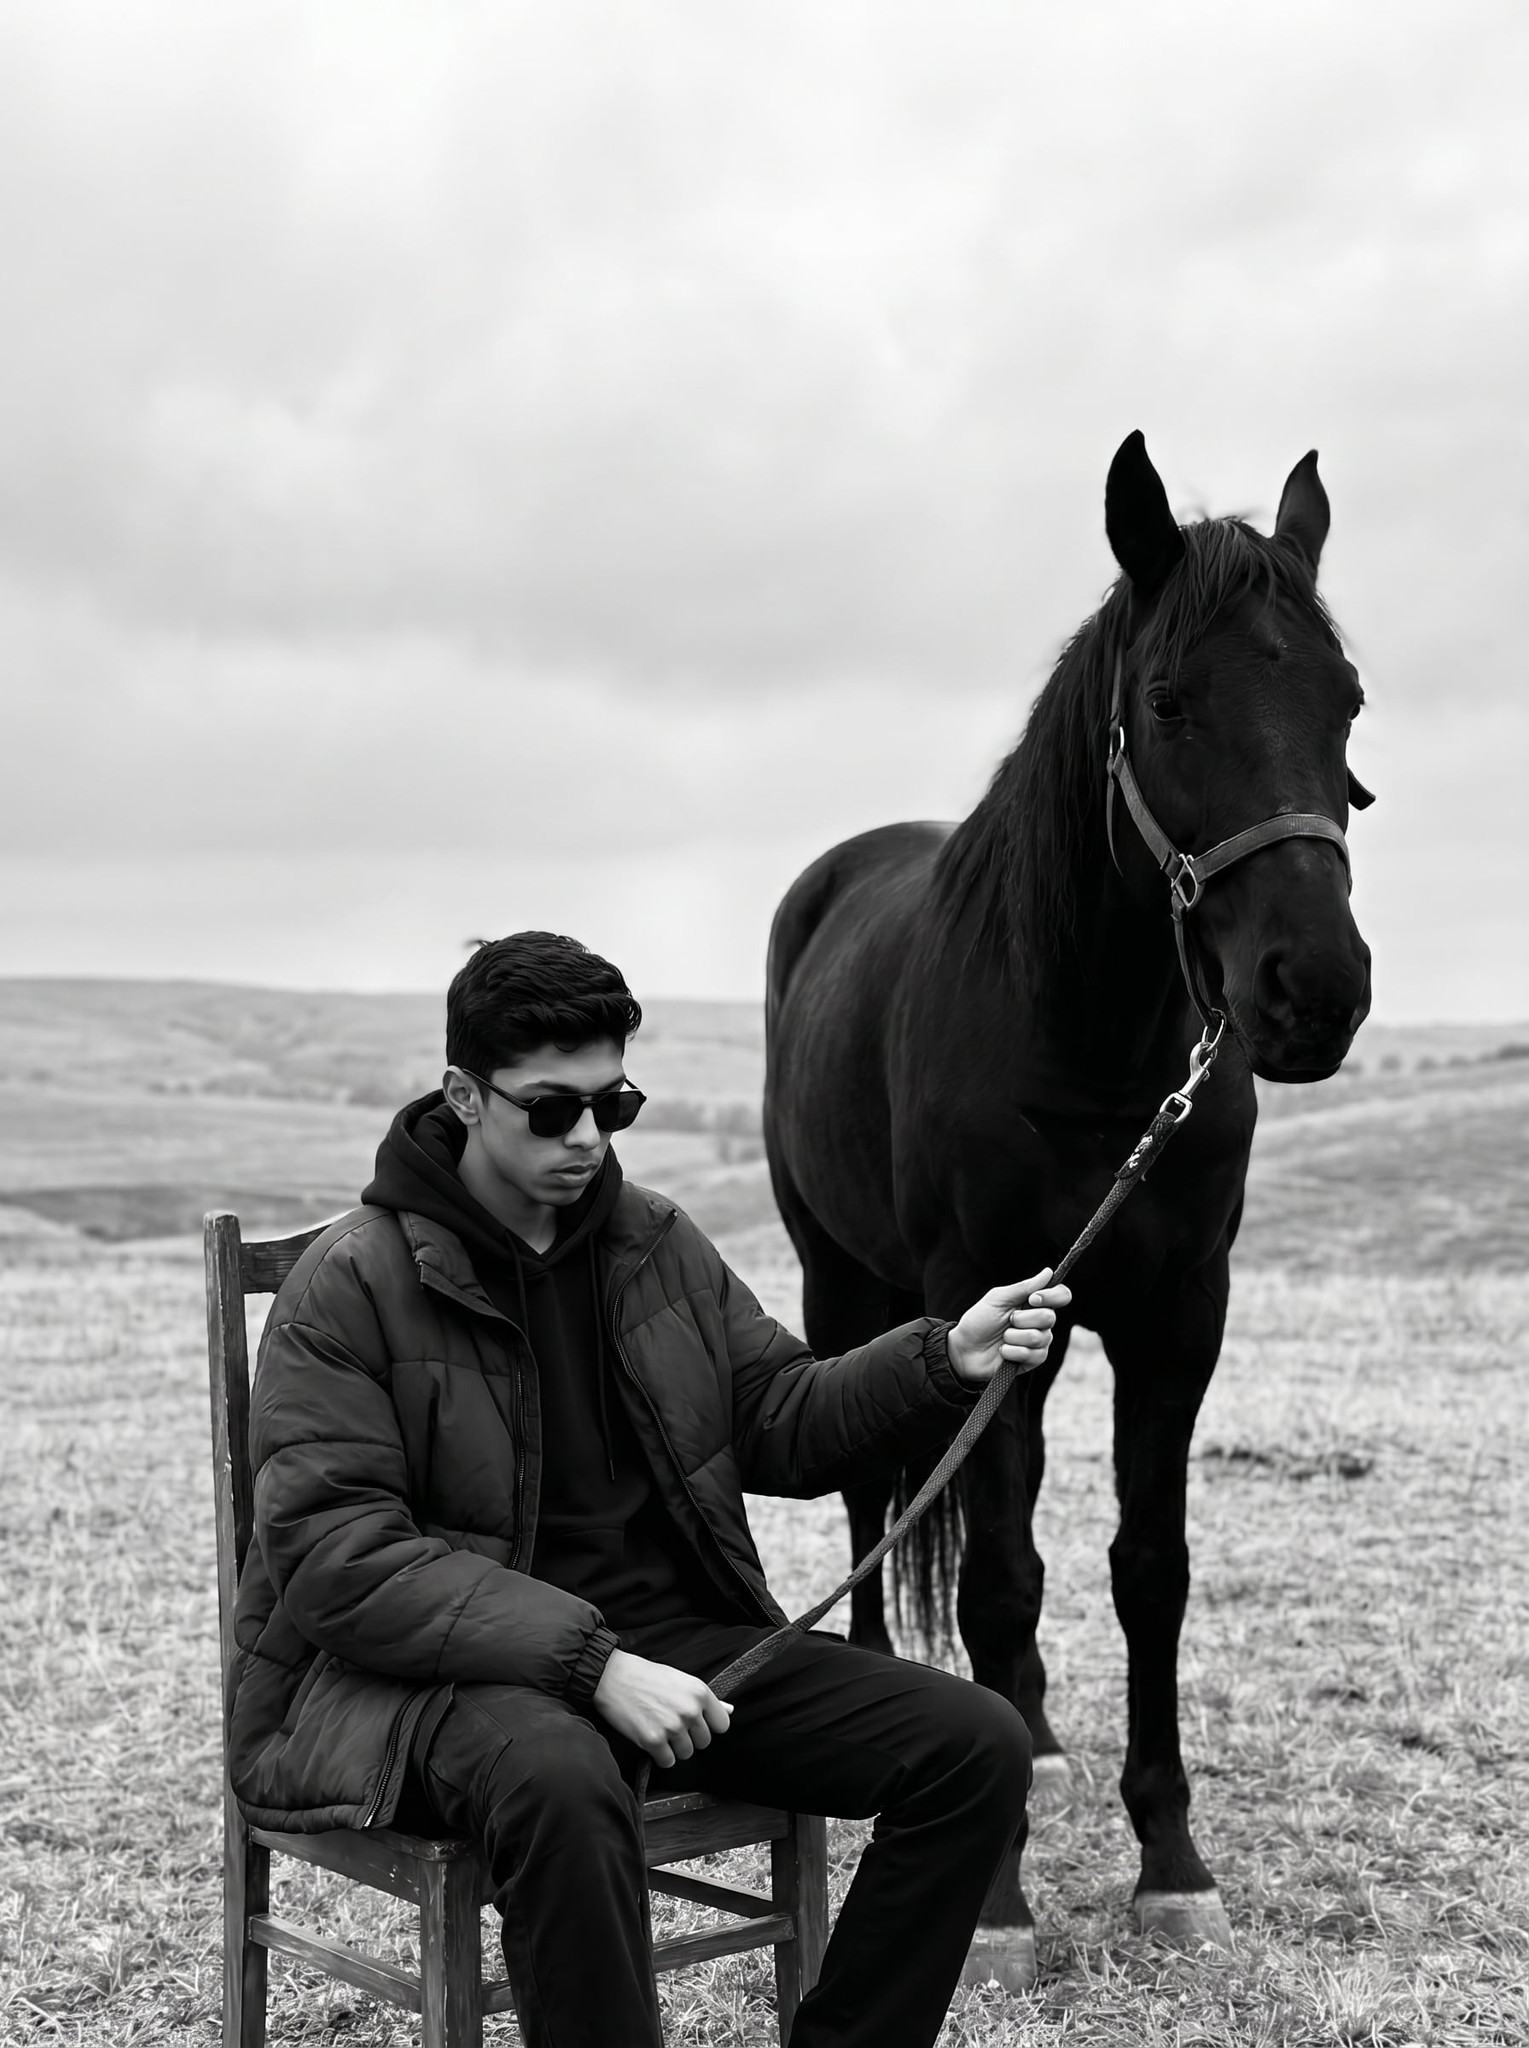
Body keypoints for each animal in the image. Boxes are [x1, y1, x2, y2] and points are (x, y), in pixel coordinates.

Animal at [762, 432, 1373, 1983]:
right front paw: (998, 1901)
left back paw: (1027, 1734)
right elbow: (995, 1575)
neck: (1091, 1054)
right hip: (844, 1281)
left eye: (1343, 698)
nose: (1314, 989)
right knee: (879, 1489)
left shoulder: (1175, 1318)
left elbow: (1144, 1568)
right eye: (1166, 702)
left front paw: (1171, 1864)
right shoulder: (980, 1302)